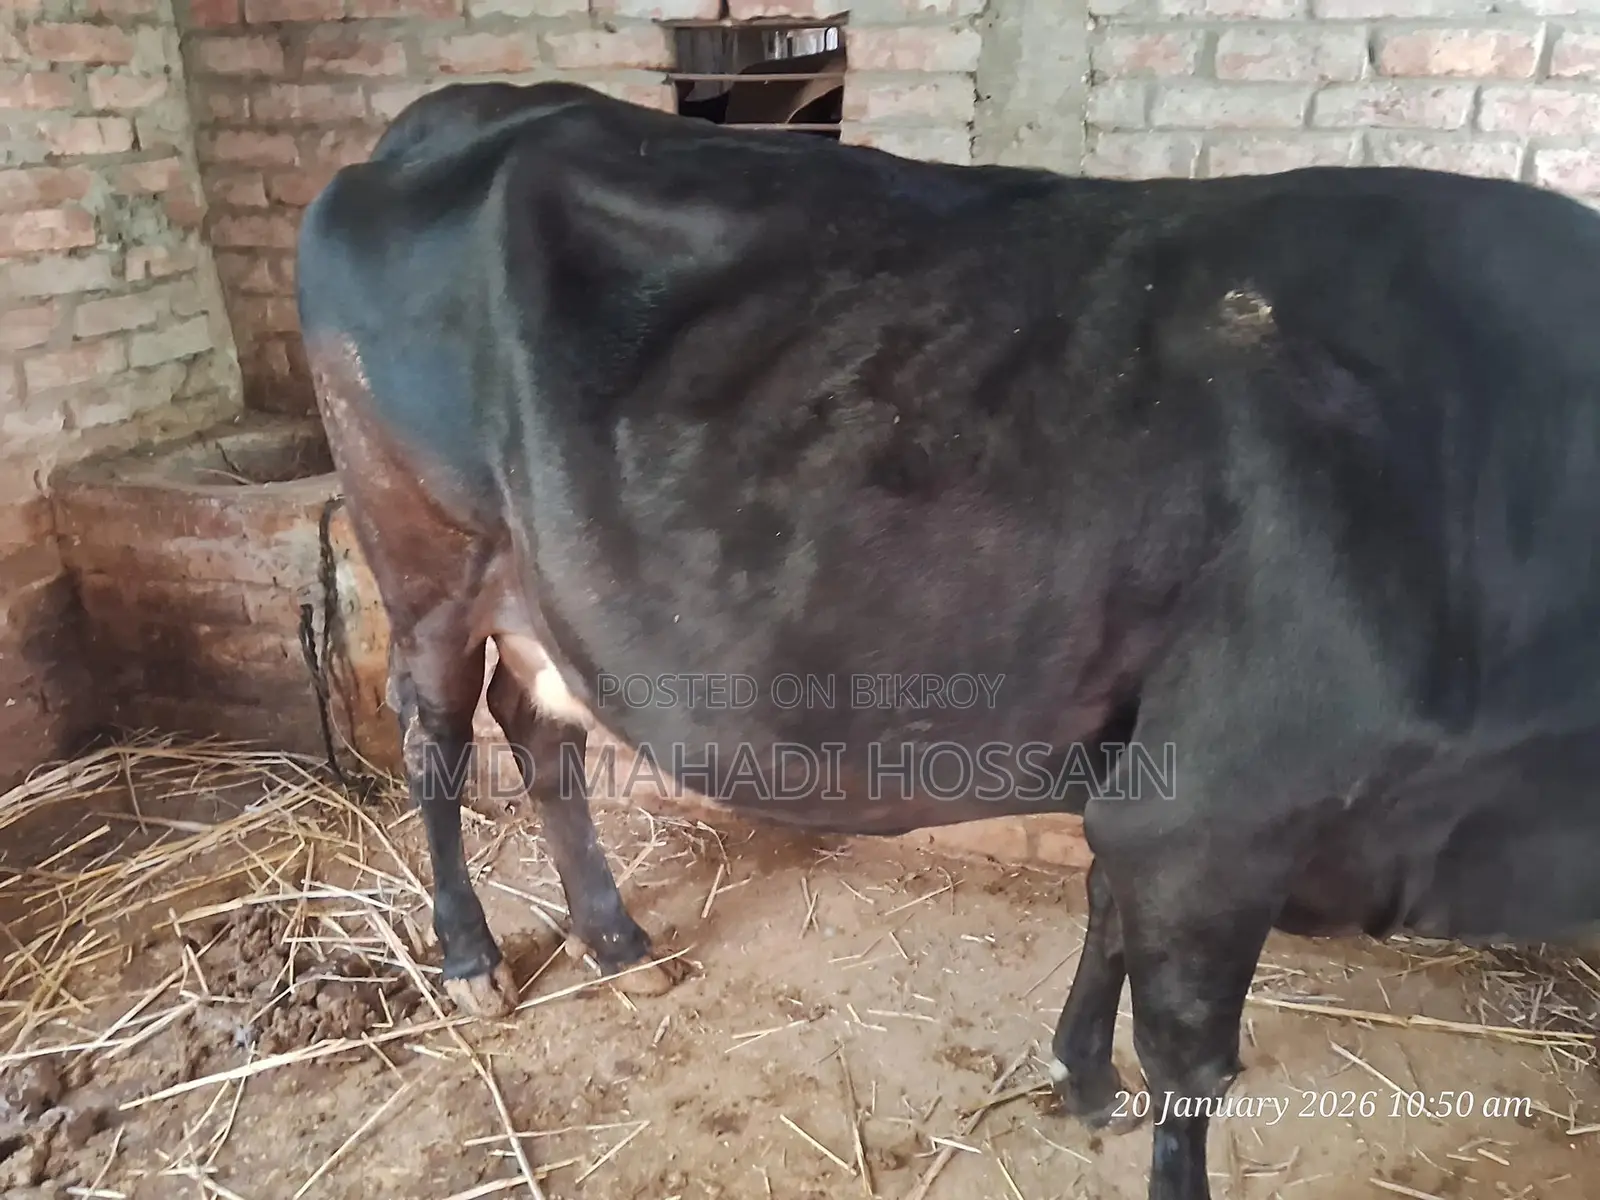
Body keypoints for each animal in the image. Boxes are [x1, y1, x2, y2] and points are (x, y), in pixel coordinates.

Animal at [295, 80, 1600, 1200]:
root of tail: (455, 113)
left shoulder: (1151, 777)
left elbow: (1102, 913)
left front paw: (1082, 1079)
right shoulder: (1216, 811)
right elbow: (1193, 1067)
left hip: (535, 589)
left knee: (540, 728)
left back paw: (615, 938)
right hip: (425, 553)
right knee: (436, 738)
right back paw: (470, 959)